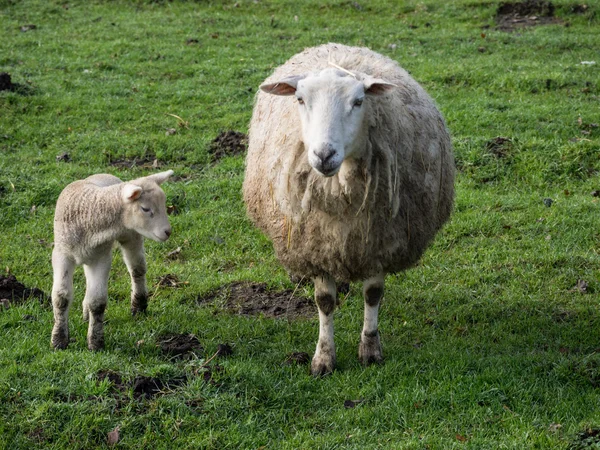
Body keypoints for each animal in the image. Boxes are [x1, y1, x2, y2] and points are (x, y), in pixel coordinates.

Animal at [51, 171, 173, 350]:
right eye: (145, 208)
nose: (168, 232)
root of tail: (105, 173)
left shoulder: (102, 257)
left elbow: (98, 302)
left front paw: (95, 343)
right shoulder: (62, 254)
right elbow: (61, 297)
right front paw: (59, 340)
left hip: (131, 235)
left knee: (137, 270)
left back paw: (139, 306)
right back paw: (86, 314)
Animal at [241, 43, 452, 376]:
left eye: (358, 101)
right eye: (300, 99)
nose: (324, 155)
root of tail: (336, 49)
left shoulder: (379, 239)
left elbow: (373, 294)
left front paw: (370, 349)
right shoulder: (315, 245)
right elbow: (325, 301)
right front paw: (323, 357)